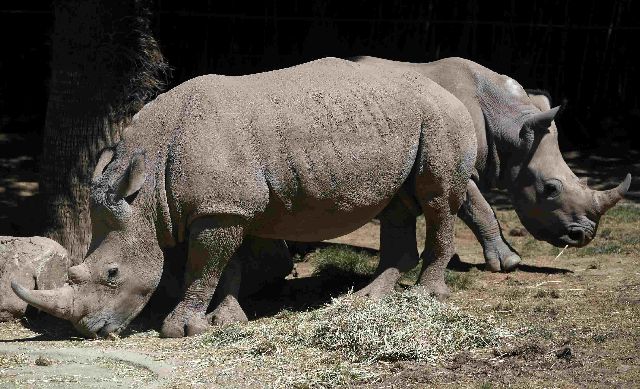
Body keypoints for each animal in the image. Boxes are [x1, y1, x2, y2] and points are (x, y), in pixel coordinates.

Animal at [12, 56, 478, 336]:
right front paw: (227, 320)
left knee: (437, 200)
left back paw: (426, 297)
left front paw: (180, 330)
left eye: (112, 273)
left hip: (442, 118)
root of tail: (447, 91)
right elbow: (227, 265)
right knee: (397, 205)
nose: (90, 330)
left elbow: (202, 267)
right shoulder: (229, 206)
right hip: (407, 120)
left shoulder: (220, 210)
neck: (147, 189)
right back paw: (365, 299)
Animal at [352, 56, 632, 292]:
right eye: (550, 189)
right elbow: (482, 210)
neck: (508, 126)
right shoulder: (456, 167)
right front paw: (510, 262)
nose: (584, 236)